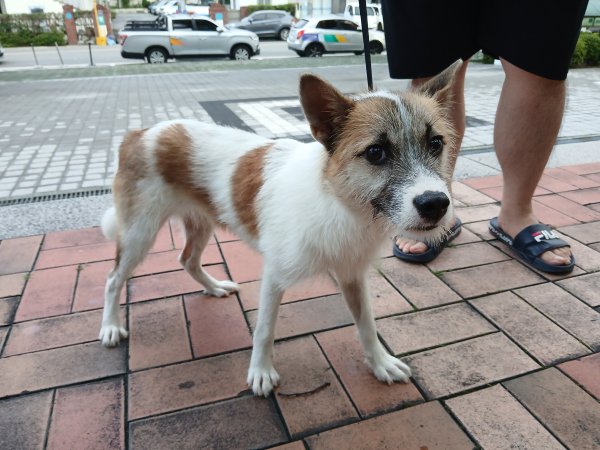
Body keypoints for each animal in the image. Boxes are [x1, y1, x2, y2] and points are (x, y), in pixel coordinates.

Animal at [101, 61, 458, 396]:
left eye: (436, 143)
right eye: (375, 152)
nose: (435, 203)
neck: (338, 202)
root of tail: (141, 133)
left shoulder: (351, 275)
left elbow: (367, 324)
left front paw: (380, 363)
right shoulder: (275, 274)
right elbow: (264, 329)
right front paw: (260, 371)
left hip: (200, 222)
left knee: (187, 260)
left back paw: (213, 287)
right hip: (139, 234)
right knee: (114, 278)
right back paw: (110, 326)